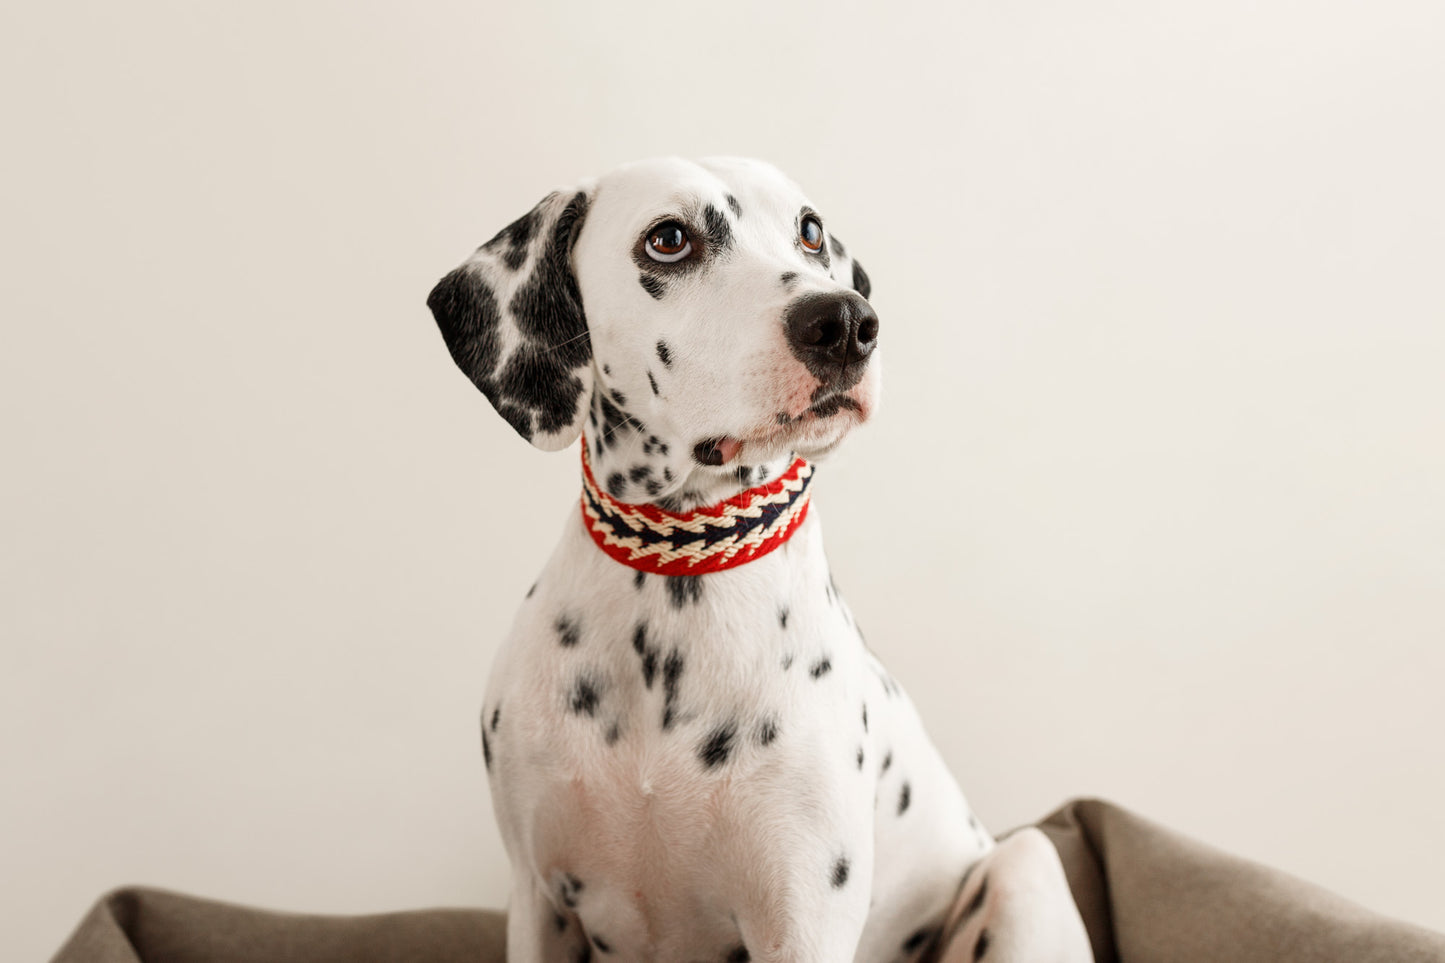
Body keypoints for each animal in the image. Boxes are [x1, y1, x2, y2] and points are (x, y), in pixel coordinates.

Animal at [421, 157, 1086, 960]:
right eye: (668, 238)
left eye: (810, 230)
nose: (845, 323)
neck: (677, 575)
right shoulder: (536, 902)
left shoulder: (799, 918)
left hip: (1026, 861)